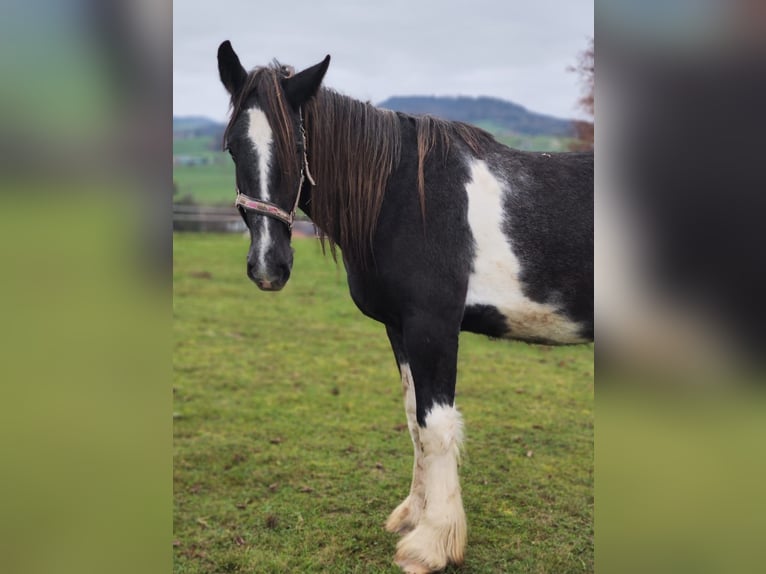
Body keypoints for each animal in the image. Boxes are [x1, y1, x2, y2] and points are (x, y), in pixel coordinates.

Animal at [216, 41, 592, 574]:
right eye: (232, 147)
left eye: (297, 147)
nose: (269, 265)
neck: (403, 198)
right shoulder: (399, 329)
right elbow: (414, 421)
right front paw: (414, 514)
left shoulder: (433, 327)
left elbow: (436, 426)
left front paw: (431, 544)